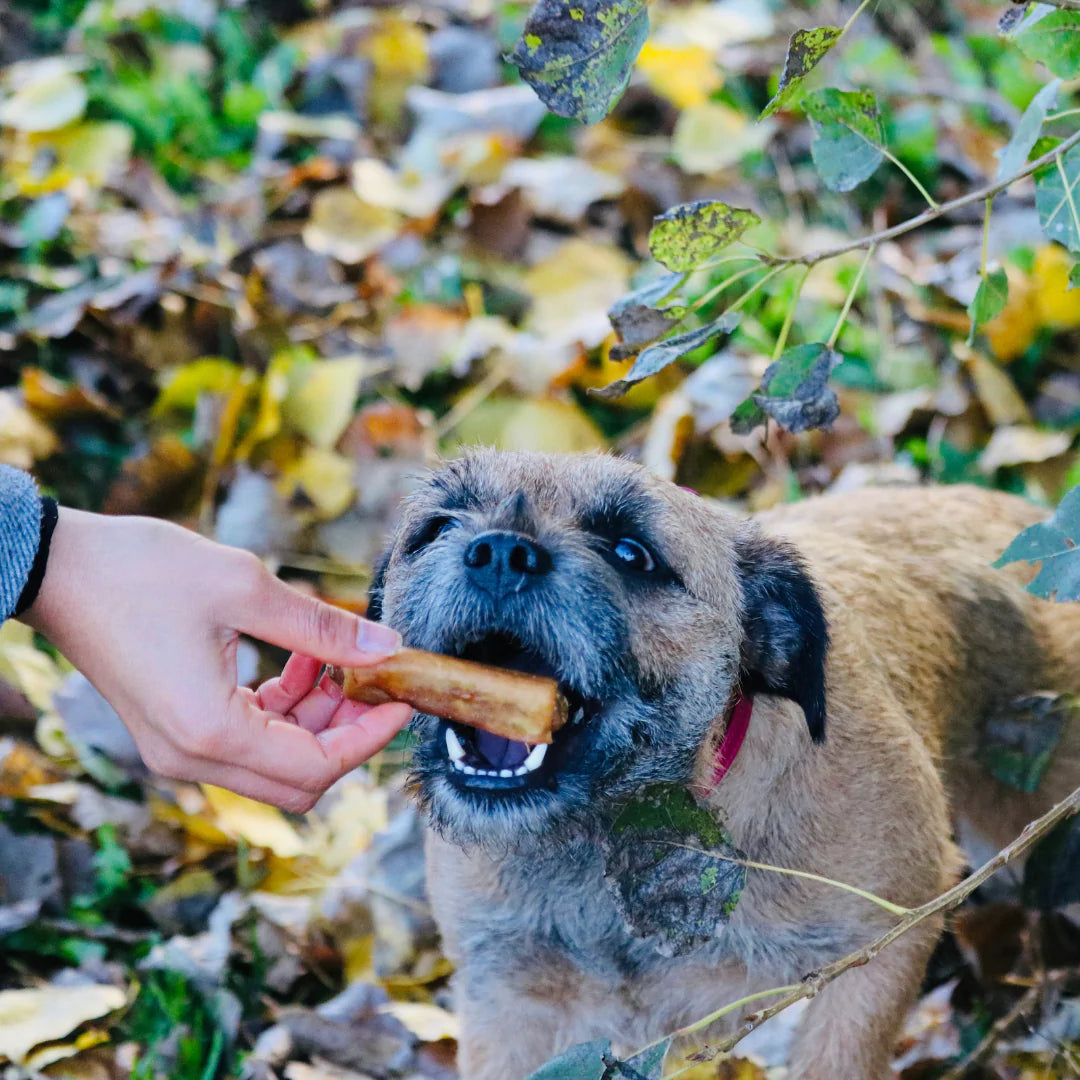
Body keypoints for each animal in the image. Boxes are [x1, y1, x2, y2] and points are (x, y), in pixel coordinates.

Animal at [367, 449, 1080, 1080]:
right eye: (436, 529)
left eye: (632, 552)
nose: (499, 552)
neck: (610, 846)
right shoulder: (505, 999)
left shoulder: (878, 948)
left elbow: (836, 1059)